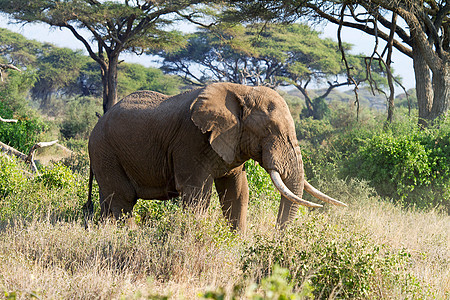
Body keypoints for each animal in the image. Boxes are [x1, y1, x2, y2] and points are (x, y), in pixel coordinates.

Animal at [83, 81, 344, 231]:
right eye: (270, 130)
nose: (276, 238)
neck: (243, 92)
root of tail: (95, 125)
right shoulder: (190, 141)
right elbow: (197, 194)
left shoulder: (232, 143)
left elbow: (237, 192)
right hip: (106, 151)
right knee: (123, 199)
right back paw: (126, 237)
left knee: (110, 201)